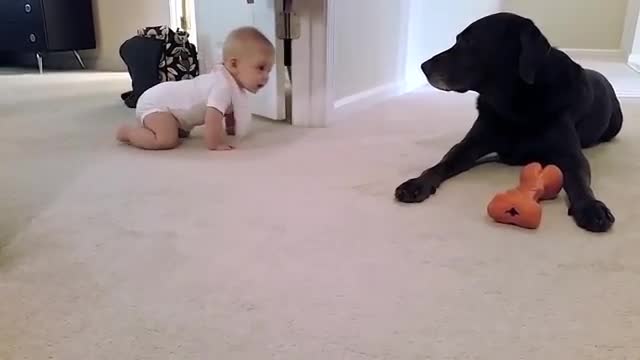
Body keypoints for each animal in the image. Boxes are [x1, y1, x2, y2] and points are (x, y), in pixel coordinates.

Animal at [392, 11, 624, 233]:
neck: (514, 102)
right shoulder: (470, 144)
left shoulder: (570, 155)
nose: (423, 66)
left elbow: (578, 181)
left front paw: (590, 207)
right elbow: (442, 163)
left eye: (468, 41)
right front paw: (417, 184)